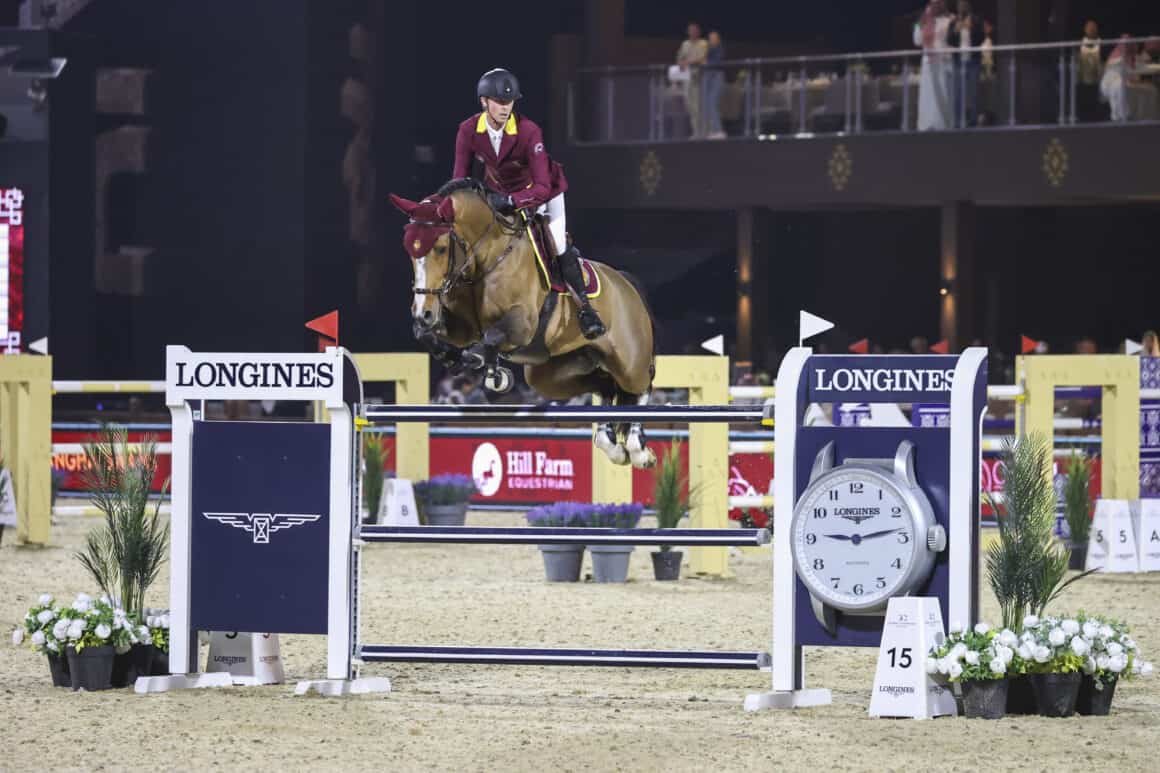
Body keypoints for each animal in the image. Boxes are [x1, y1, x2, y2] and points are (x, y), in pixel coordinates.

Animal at [389, 177, 658, 466]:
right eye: (409, 250)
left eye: (440, 248)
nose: (423, 312)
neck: (487, 256)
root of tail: (625, 282)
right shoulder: (463, 328)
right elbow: (428, 335)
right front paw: (452, 355)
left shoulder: (522, 324)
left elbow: (491, 337)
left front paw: (483, 364)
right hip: (549, 375)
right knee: (605, 386)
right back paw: (611, 445)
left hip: (629, 361)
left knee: (641, 384)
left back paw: (638, 448)